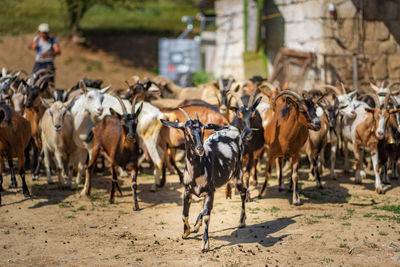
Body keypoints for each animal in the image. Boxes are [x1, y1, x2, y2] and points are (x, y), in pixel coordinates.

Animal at [160, 109, 250, 253]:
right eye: (186, 130)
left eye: (203, 130)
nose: (200, 149)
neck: (197, 171)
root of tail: (237, 132)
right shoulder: (187, 191)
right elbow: (184, 214)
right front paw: (186, 232)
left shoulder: (210, 191)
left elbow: (208, 215)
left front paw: (205, 245)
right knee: (205, 206)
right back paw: (196, 226)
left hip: (236, 174)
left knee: (243, 191)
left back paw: (242, 222)